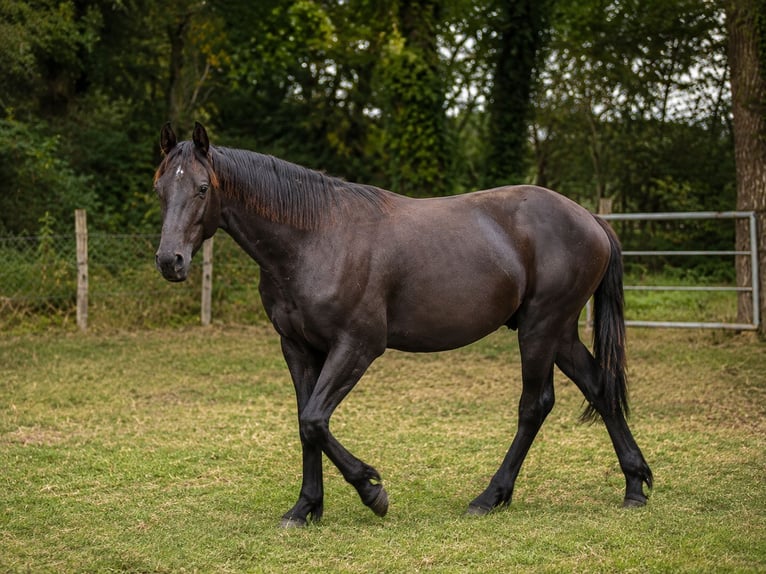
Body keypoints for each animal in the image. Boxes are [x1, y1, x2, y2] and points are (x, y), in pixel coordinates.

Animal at [153, 122, 652, 527]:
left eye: (202, 188)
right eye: (160, 190)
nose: (169, 261)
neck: (316, 238)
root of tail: (591, 218)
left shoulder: (357, 346)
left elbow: (315, 419)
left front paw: (372, 490)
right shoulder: (296, 347)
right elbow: (304, 422)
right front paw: (305, 508)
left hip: (540, 329)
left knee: (535, 406)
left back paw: (489, 497)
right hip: (560, 332)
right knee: (600, 387)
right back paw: (635, 485)